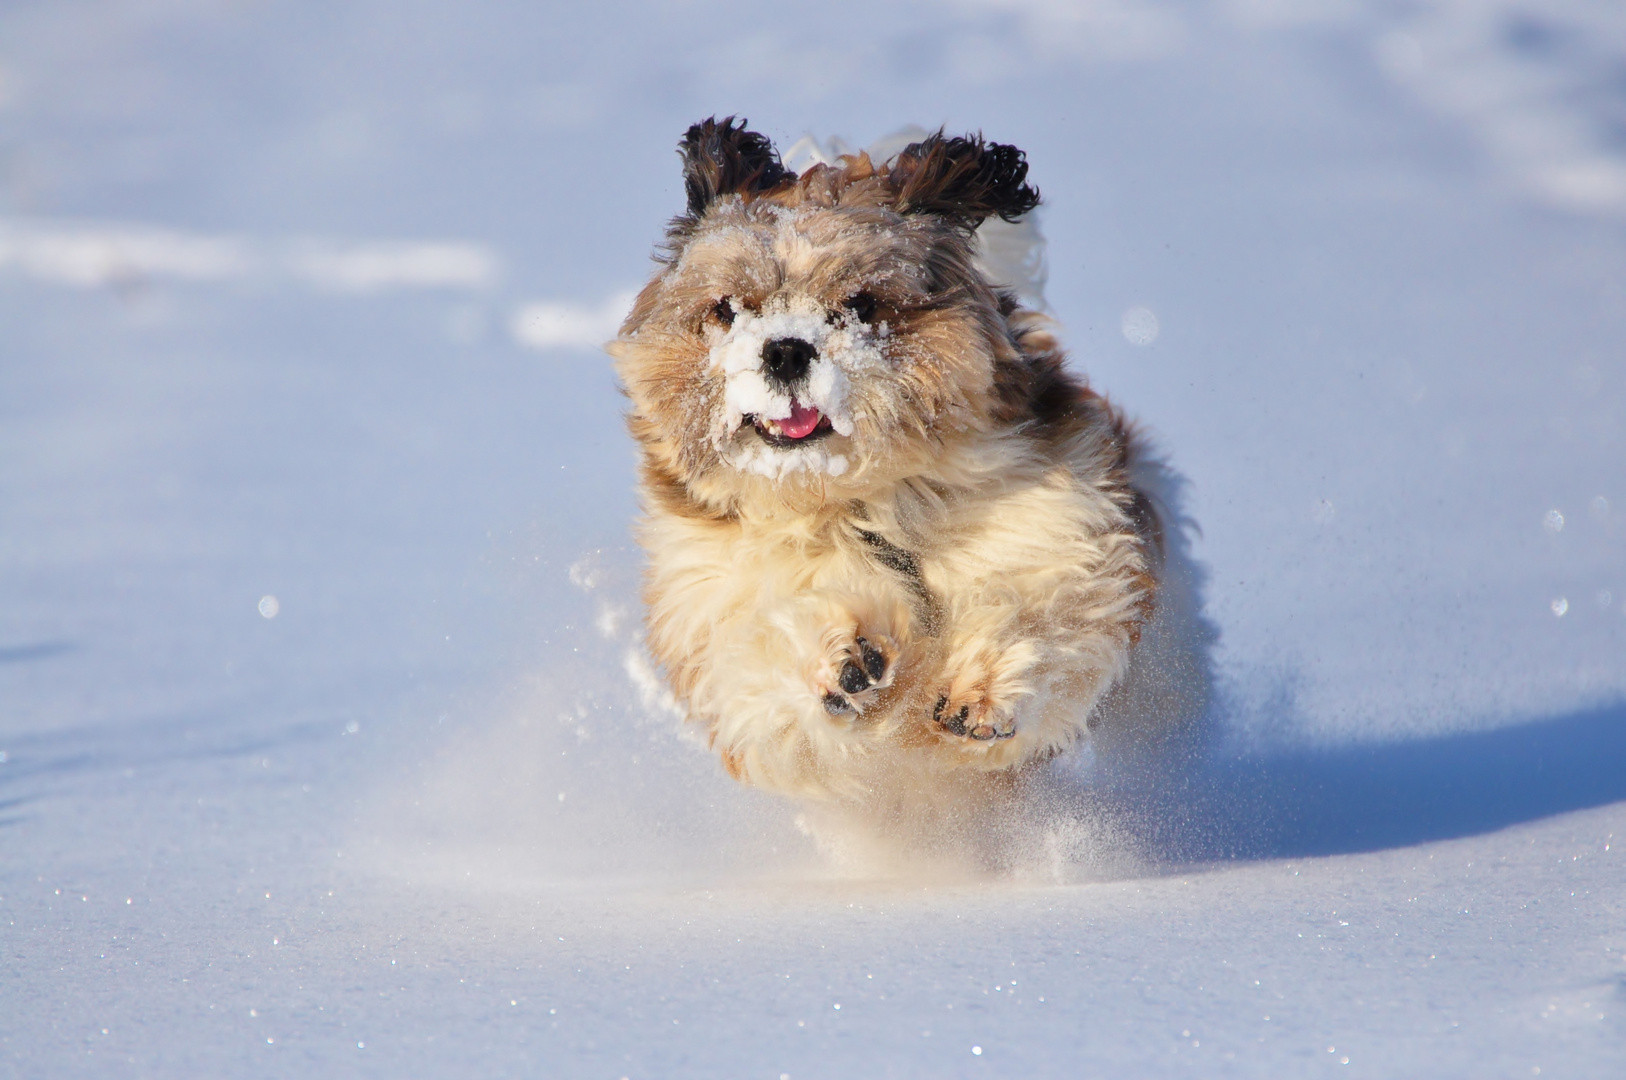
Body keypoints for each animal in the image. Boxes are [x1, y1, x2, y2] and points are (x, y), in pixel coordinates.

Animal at [611, 117, 1183, 823]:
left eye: (861, 304)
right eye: (727, 308)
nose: (786, 349)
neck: (862, 506)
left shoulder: (1062, 527)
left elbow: (1053, 608)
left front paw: (983, 687)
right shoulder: (713, 608)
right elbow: (766, 661)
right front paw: (844, 660)